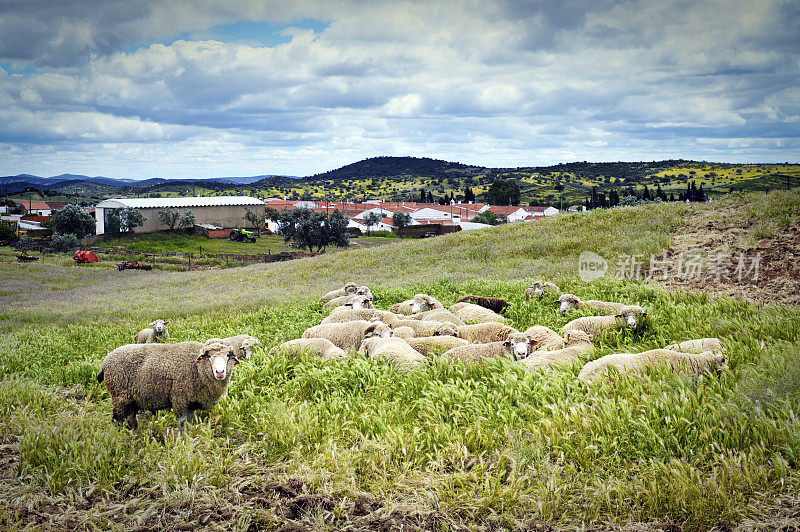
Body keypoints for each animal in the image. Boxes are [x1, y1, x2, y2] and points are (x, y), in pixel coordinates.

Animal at [98, 338, 241, 434]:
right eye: (209, 356)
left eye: (228, 355)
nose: (220, 372)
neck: (197, 368)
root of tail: (105, 361)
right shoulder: (179, 398)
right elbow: (181, 422)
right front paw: (180, 442)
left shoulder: (191, 403)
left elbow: (189, 423)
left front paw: (189, 438)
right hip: (119, 396)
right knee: (117, 420)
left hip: (131, 399)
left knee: (131, 419)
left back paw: (135, 436)